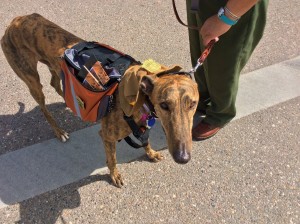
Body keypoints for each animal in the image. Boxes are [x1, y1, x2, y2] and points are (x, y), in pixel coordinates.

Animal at [1, 13, 199, 187]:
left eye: (193, 104)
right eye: (164, 105)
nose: (183, 158)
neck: (141, 95)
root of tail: (15, 21)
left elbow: (145, 141)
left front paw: (151, 153)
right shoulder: (108, 136)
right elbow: (112, 159)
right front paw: (115, 175)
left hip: (53, 66)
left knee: (55, 82)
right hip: (31, 78)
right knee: (43, 106)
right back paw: (59, 131)